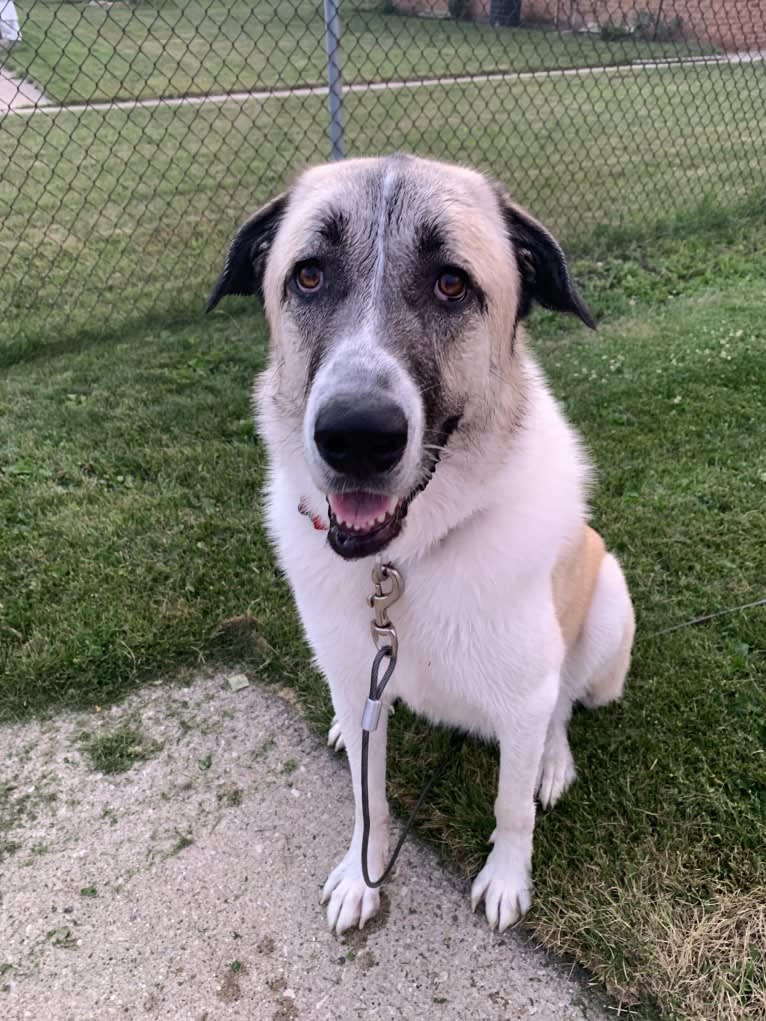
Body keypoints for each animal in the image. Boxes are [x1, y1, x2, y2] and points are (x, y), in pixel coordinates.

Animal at [210, 151, 637, 935]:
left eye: (451, 284)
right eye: (309, 275)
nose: (356, 437)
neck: (401, 564)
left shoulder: (524, 698)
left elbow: (511, 802)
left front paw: (507, 876)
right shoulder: (359, 679)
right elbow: (367, 800)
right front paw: (361, 874)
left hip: (608, 604)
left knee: (566, 702)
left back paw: (554, 761)